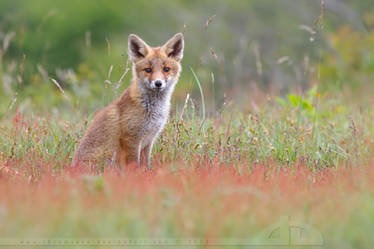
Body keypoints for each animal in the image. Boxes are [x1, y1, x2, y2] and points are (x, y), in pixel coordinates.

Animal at [72, 32, 184, 169]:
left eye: (166, 69)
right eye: (148, 70)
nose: (158, 83)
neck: (152, 109)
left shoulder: (149, 140)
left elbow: (146, 165)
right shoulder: (131, 139)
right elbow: (134, 165)